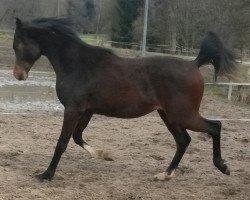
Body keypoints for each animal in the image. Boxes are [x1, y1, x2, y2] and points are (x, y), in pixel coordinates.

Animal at [12, 17, 237, 181]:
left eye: (17, 45)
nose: (18, 75)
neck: (78, 64)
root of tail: (194, 64)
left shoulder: (73, 109)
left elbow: (62, 142)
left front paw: (46, 175)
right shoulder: (87, 110)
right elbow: (77, 136)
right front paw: (104, 155)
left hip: (182, 115)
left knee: (215, 126)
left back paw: (222, 166)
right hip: (168, 115)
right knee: (184, 141)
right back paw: (165, 175)